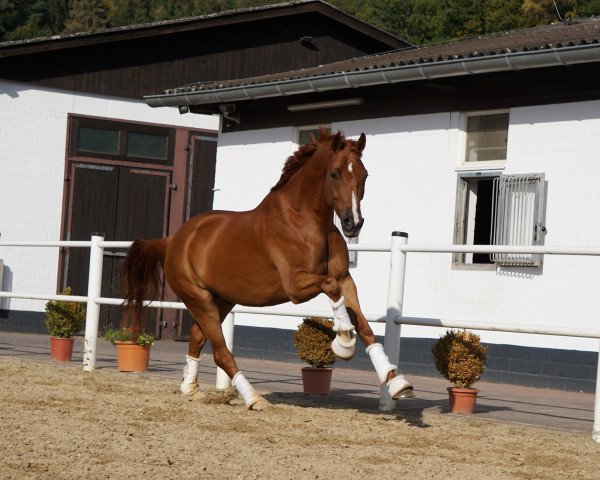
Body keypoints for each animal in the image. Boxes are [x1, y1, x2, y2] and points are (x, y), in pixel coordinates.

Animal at [122, 130, 412, 408]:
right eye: (335, 173)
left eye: (364, 174)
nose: (354, 224)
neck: (304, 219)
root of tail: (173, 240)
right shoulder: (296, 286)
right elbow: (332, 289)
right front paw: (343, 341)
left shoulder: (345, 278)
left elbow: (364, 326)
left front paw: (397, 384)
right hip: (199, 299)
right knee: (221, 352)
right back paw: (254, 399)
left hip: (222, 299)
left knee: (196, 336)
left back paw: (190, 388)